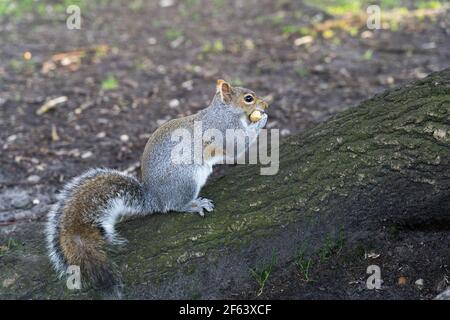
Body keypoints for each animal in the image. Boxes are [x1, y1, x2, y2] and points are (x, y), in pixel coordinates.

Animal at [45, 79, 268, 294]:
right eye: (248, 98)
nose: (265, 105)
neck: (223, 111)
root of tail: (154, 198)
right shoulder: (223, 131)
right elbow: (237, 146)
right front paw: (262, 121)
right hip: (187, 179)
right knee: (173, 206)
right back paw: (194, 204)